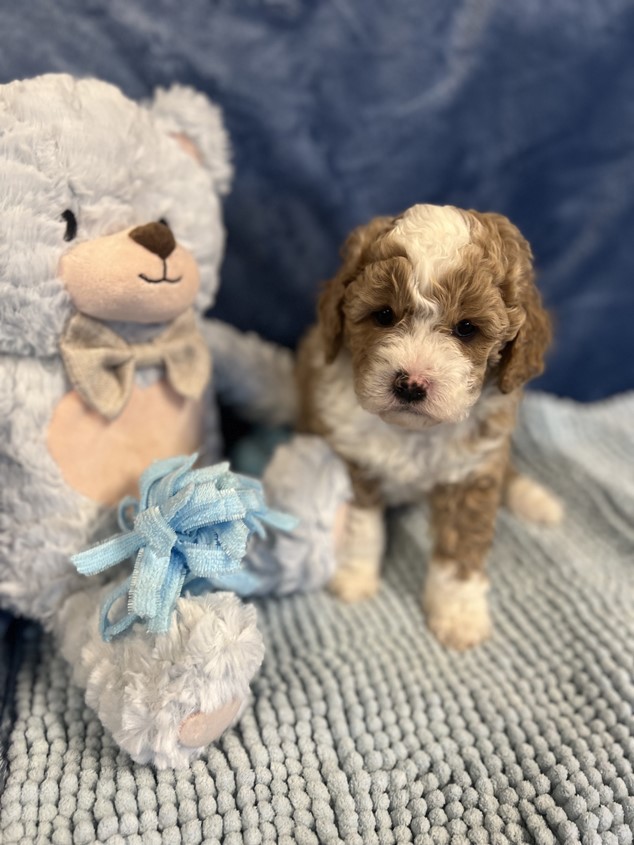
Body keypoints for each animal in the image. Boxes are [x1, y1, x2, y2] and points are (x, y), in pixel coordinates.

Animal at [294, 203, 560, 648]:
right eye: (384, 315)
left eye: (466, 328)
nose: (411, 383)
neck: (413, 431)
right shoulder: (352, 458)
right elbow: (360, 527)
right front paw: (353, 577)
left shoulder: (471, 473)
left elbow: (461, 549)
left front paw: (458, 613)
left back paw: (538, 501)